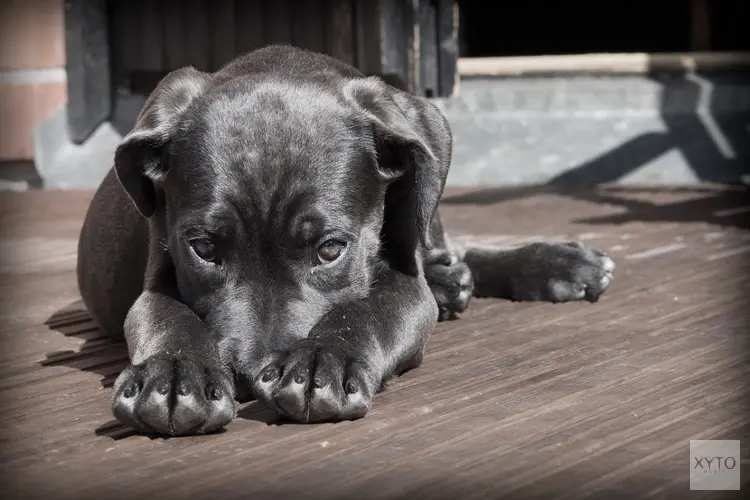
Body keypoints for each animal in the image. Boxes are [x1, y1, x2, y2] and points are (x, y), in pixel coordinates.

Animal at [76, 47, 616, 436]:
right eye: (203, 249)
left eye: (330, 249)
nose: (250, 376)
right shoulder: (158, 274)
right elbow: (166, 315)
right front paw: (173, 375)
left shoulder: (404, 283)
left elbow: (369, 310)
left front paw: (322, 361)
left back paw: (554, 264)